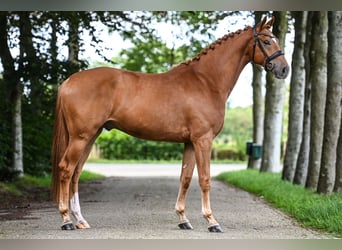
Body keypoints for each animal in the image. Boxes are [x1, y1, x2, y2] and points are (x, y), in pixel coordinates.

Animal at [50, 16, 288, 232]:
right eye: (266, 41)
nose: (284, 69)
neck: (206, 81)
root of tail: (68, 81)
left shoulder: (190, 142)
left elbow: (185, 178)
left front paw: (183, 219)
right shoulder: (203, 140)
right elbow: (205, 179)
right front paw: (212, 221)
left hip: (91, 136)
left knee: (76, 173)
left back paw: (80, 220)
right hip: (81, 137)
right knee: (66, 169)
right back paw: (66, 220)